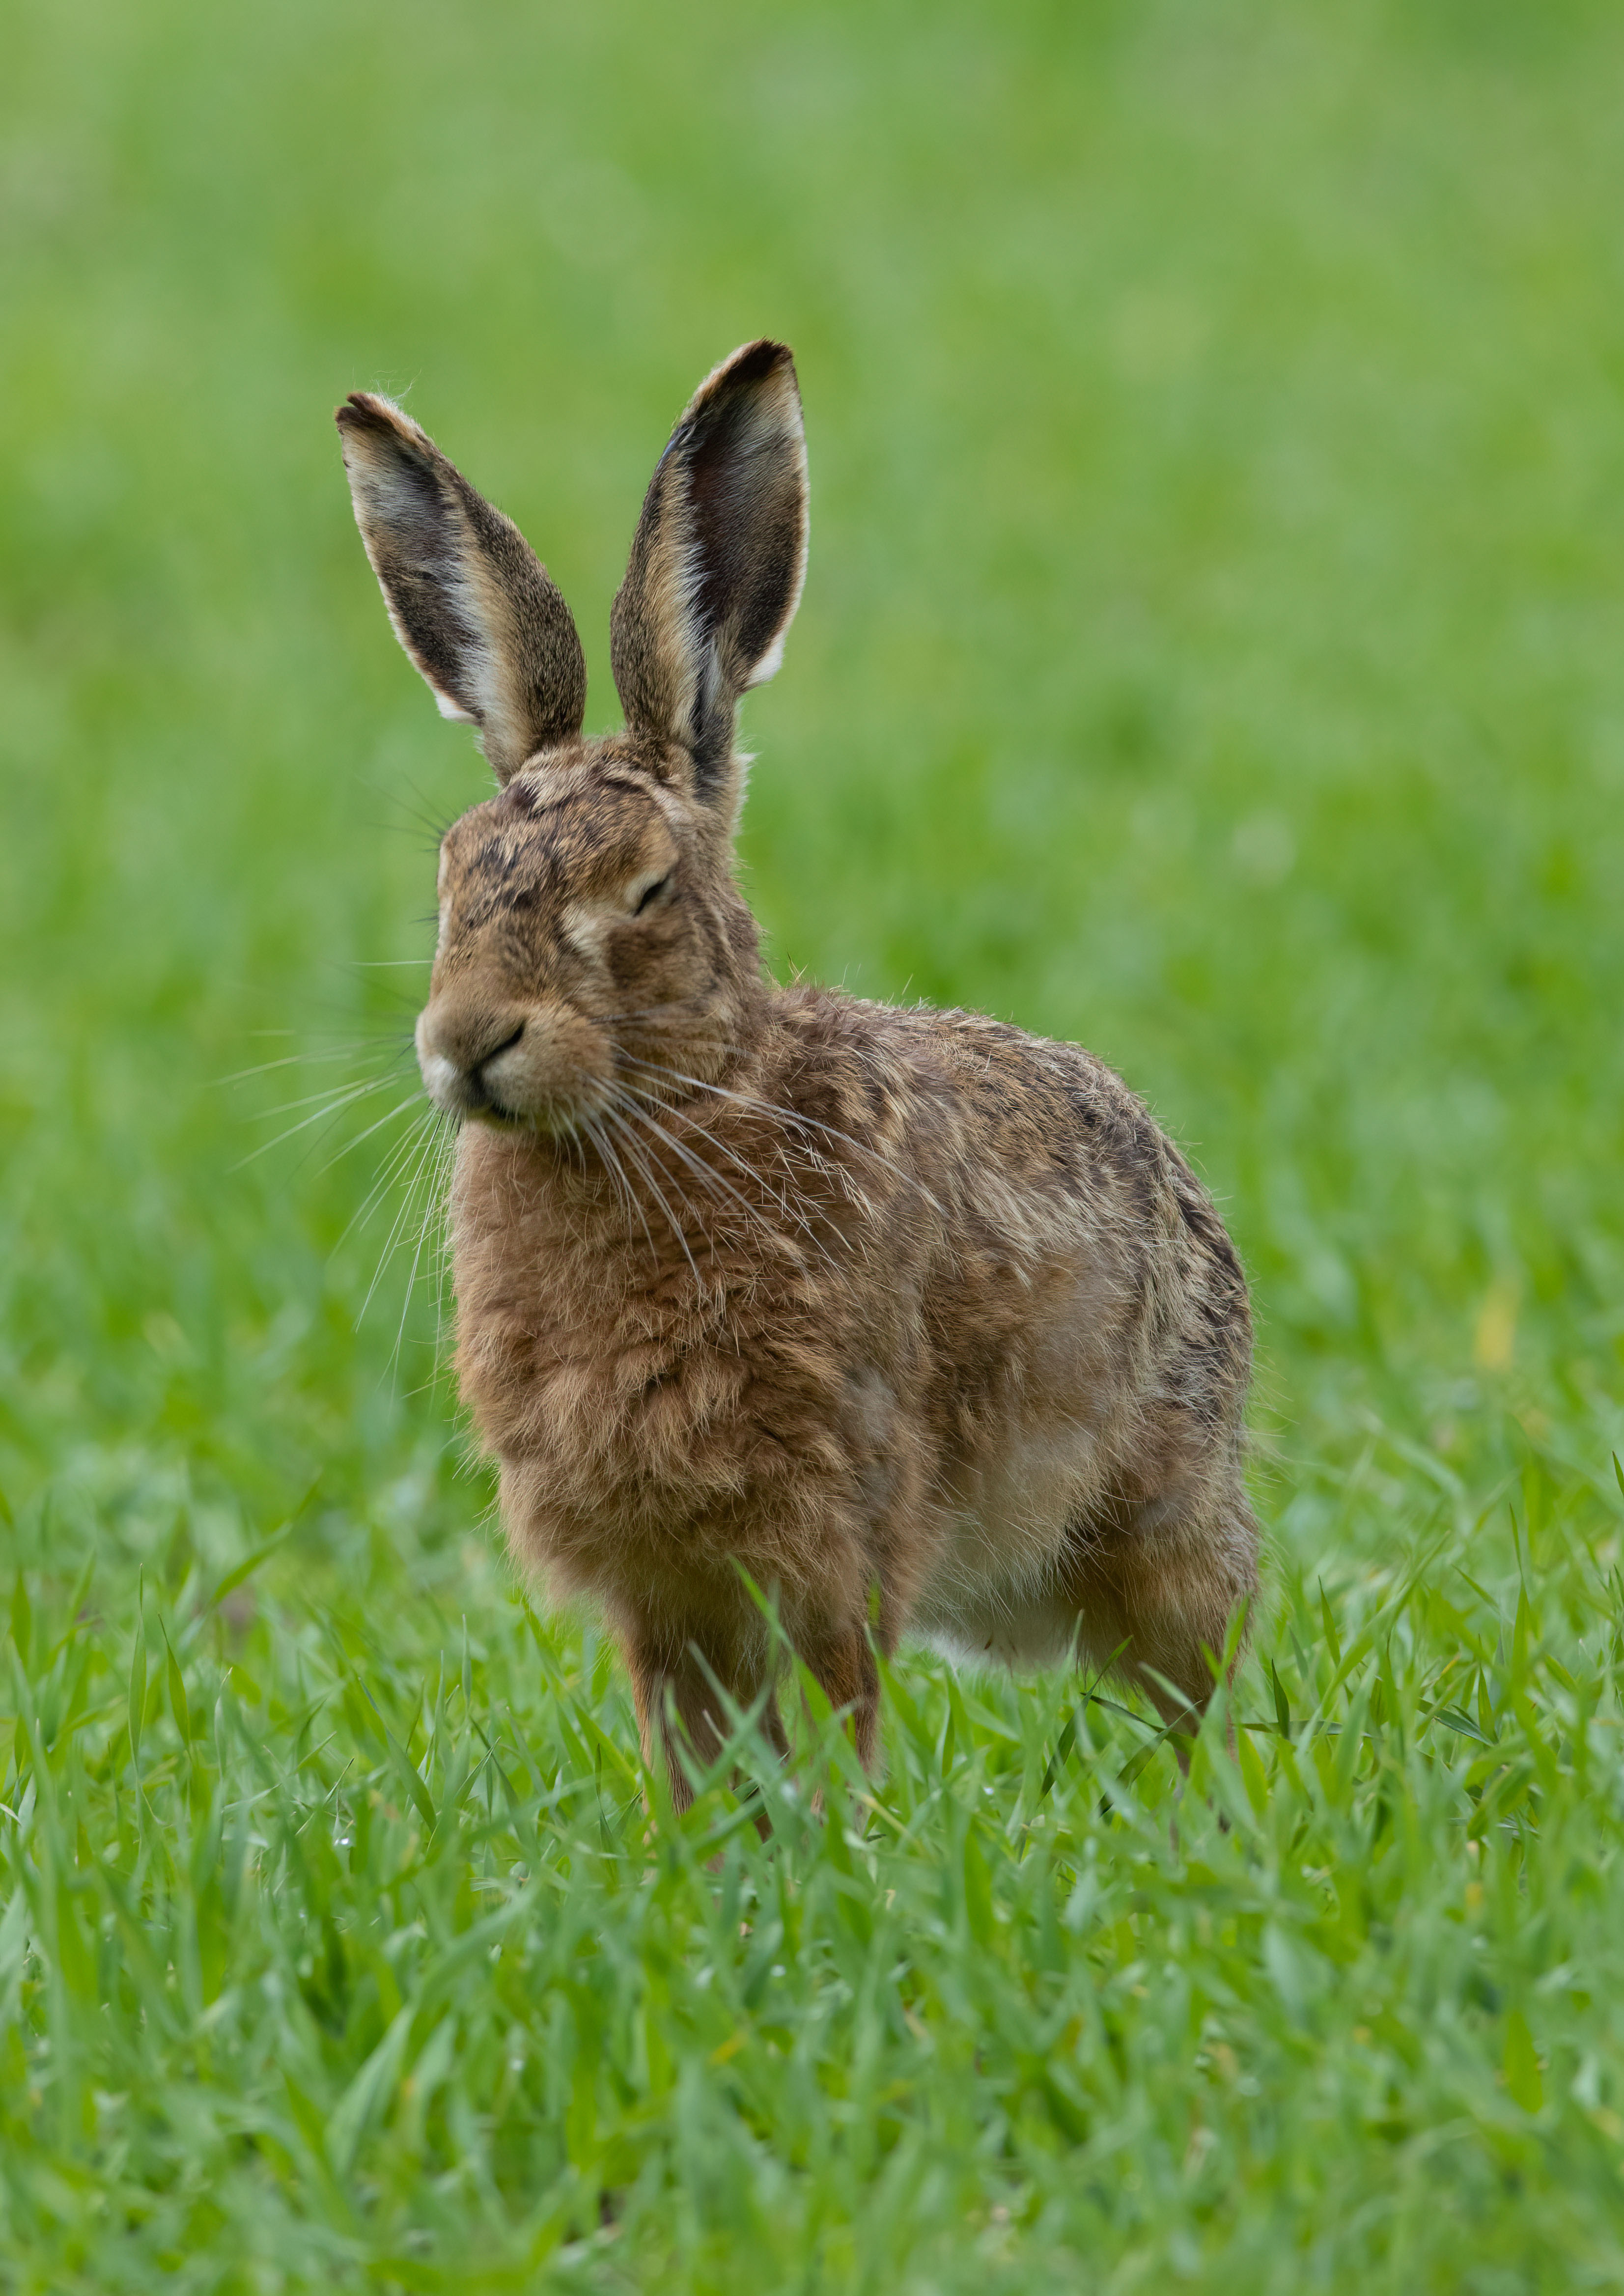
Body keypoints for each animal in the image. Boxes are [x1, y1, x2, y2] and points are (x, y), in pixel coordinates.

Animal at [335, 340, 1259, 1809]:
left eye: (646, 889)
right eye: (450, 878)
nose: (469, 1040)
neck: (675, 1105)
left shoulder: (835, 1538)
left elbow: (840, 1721)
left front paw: (848, 1845)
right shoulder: (666, 1601)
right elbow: (691, 1754)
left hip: (1161, 1513)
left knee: (1196, 1685)